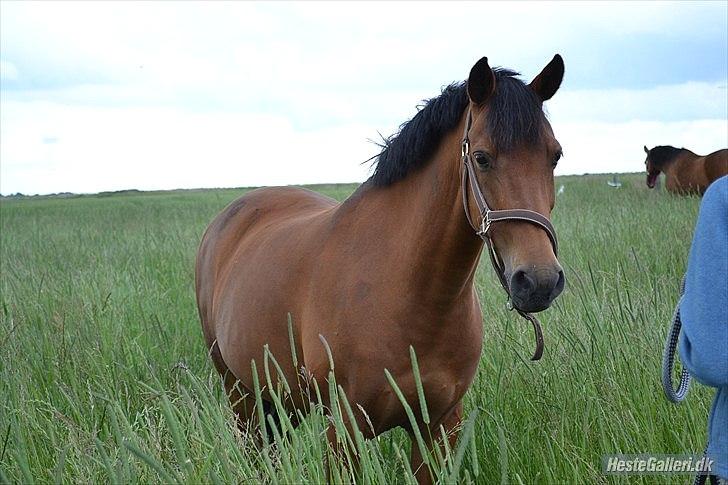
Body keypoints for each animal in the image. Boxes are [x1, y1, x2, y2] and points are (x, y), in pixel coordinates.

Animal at [196, 54, 564, 480]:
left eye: (555, 155)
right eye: (482, 157)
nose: (538, 281)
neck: (409, 293)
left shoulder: (439, 427)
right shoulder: (345, 429)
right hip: (240, 395)